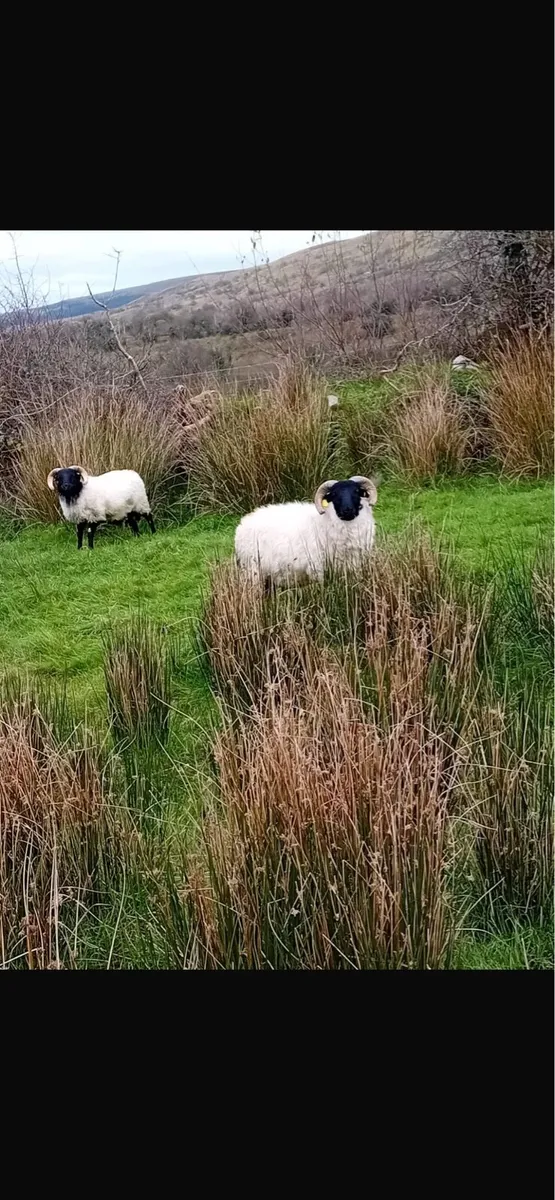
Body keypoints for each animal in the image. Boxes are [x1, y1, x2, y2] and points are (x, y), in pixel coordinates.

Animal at [234, 475, 377, 586]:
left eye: (357, 491)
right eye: (334, 494)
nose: (347, 510)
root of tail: (241, 525)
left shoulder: (353, 568)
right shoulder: (318, 570)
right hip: (252, 573)